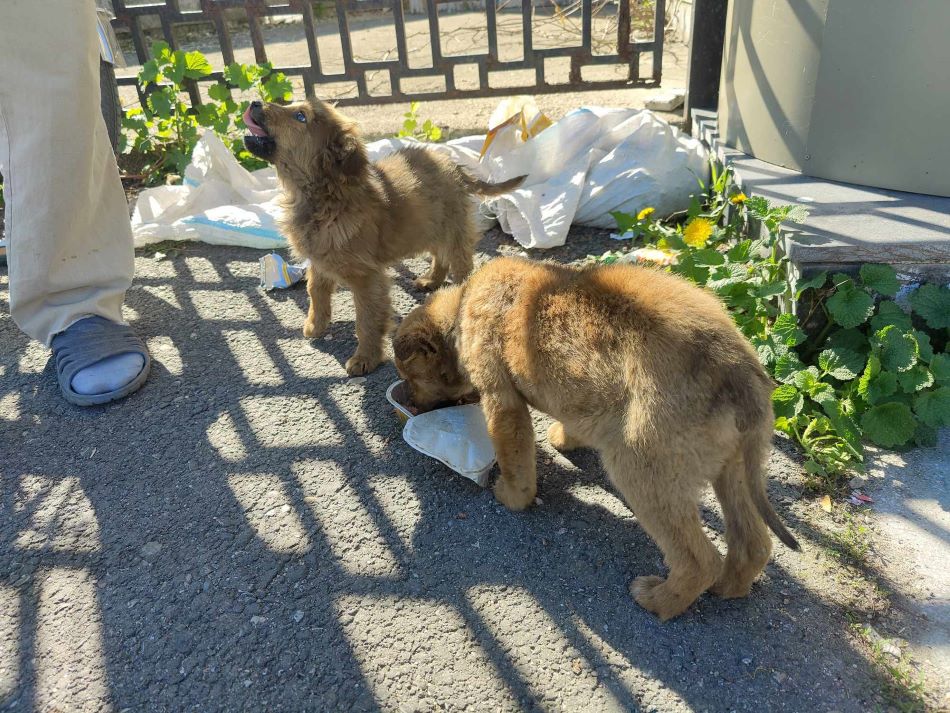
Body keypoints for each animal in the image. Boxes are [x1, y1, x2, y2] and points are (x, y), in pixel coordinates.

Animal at [244, 101, 528, 378]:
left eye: (300, 116)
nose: (253, 102)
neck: (325, 198)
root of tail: (454, 166)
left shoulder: (367, 278)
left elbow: (366, 321)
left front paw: (365, 358)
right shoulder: (320, 261)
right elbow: (316, 292)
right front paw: (315, 325)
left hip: (452, 228)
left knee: (460, 264)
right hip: (428, 225)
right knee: (440, 254)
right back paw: (431, 279)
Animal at [396, 258, 804, 620]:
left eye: (412, 378)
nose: (410, 403)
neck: (463, 309)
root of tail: (738, 367)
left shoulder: (502, 402)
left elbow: (514, 459)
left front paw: (512, 496)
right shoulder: (579, 397)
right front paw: (565, 438)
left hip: (642, 471)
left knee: (699, 560)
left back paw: (659, 601)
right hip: (734, 466)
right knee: (753, 543)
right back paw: (729, 588)